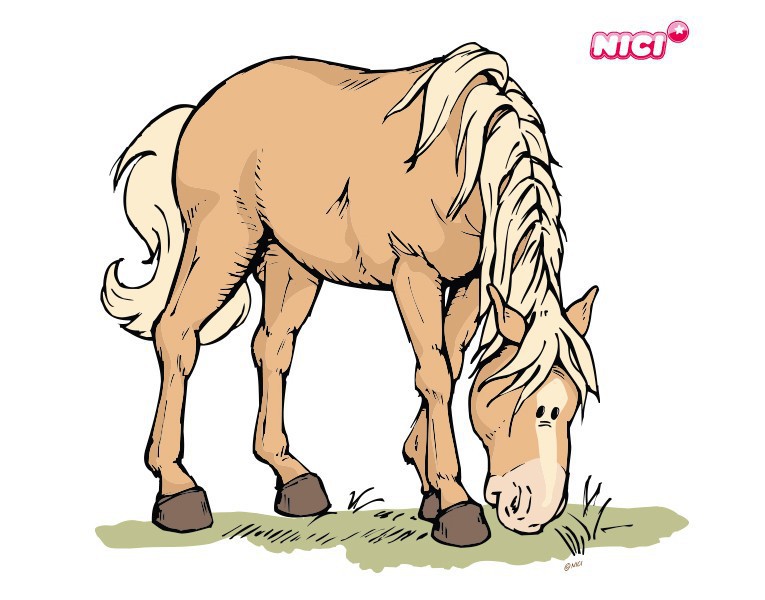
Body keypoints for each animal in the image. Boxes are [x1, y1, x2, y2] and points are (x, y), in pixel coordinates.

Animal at [102, 43, 598, 548]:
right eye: (525, 404)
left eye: (572, 405)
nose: (533, 510)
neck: (463, 160)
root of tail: (203, 107)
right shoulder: (414, 272)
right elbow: (434, 375)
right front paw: (455, 503)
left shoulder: (472, 283)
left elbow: (451, 366)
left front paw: (429, 485)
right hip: (224, 244)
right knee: (177, 333)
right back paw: (177, 489)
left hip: (289, 263)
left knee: (272, 348)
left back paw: (293, 477)